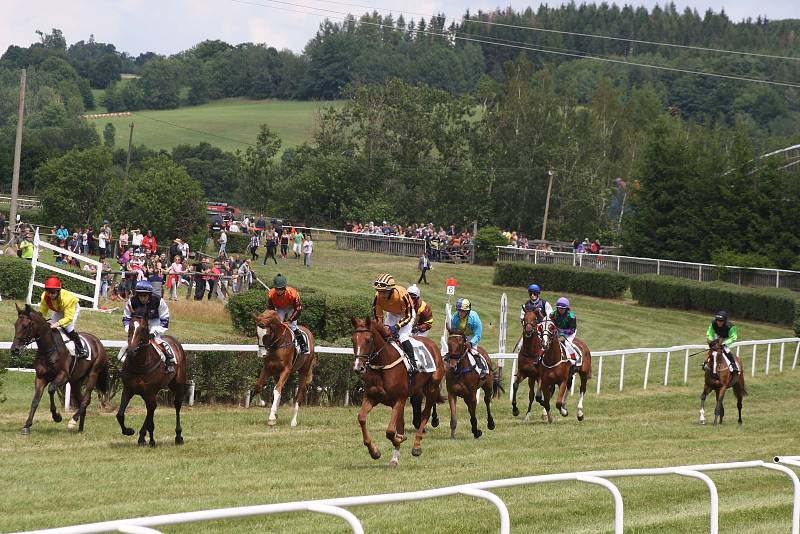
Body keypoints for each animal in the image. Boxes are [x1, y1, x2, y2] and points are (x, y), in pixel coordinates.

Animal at [11, 306, 109, 436]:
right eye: (15, 325)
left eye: (25, 326)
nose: (14, 349)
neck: (49, 349)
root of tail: (98, 342)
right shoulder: (40, 377)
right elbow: (35, 400)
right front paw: (27, 425)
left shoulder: (63, 375)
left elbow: (51, 389)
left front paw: (57, 416)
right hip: (76, 381)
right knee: (81, 400)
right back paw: (80, 429)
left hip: (93, 374)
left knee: (86, 400)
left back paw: (72, 421)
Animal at [115, 314, 188, 448]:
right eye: (131, 327)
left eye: (143, 328)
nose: (131, 350)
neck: (139, 364)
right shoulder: (128, 390)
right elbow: (120, 414)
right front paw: (129, 431)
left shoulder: (149, 393)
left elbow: (150, 415)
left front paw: (146, 439)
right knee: (151, 410)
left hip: (178, 385)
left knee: (176, 405)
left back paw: (178, 436)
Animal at [352, 318, 446, 468]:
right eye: (353, 340)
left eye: (368, 340)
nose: (358, 367)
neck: (383, 365)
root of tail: (432, 344)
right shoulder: (371, 398)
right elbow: (361, 418)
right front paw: (375, 452)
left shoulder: (399, 399)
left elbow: (390, 431)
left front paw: (399, 440)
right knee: (403, 423)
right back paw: (394, 458)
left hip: (431, 388)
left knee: (425, 414)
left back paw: (417, 446)